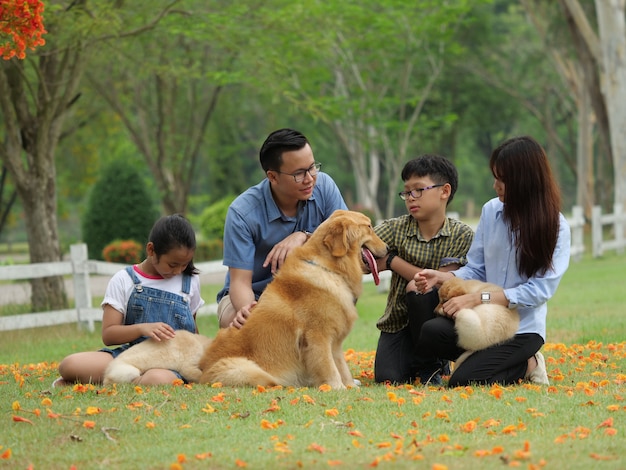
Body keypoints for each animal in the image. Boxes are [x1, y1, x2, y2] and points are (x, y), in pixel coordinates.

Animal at [197, 211, 388, 392]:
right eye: (369, 227)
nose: (387, 248)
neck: (329, 269)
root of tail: (200, 371)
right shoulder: (317, 336)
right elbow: (328, 366)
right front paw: (337, 387)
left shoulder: (334, 341)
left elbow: (341, 365)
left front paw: (349, 385)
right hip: (246, 369)